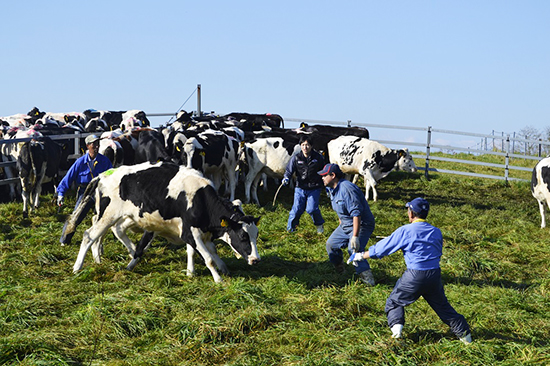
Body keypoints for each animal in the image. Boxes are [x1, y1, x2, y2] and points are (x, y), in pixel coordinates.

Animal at [63, 163, 262, 284]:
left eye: (256, 235)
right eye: (243, 236)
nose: (256, 259)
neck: (200, 198)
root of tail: (101, 176)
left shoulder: (192, 231)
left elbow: (200, 251)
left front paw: (193, 271)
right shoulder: (190, 232)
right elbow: (208, 258)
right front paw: (218, 279)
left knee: (103, 234)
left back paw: (100, 260)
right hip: (108, 215)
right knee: (89, 235)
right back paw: (77, 267)